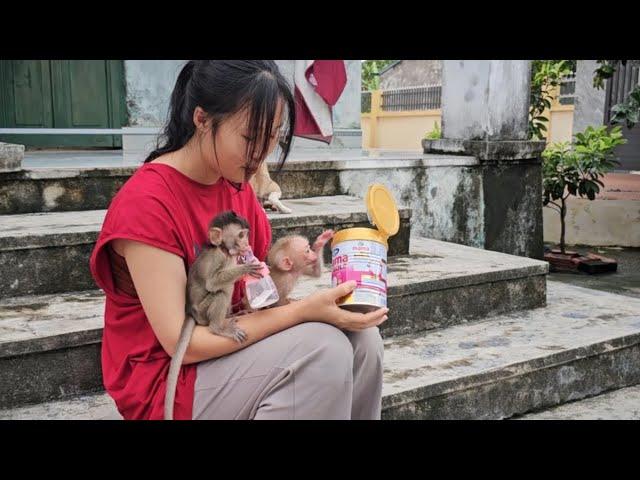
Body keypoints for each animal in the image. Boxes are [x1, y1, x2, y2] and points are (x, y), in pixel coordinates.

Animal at [168, 211, 264, 420]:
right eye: (240, 235)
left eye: (245, 234)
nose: (246, 244)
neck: (225, 251)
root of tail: (190, 311)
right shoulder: (219, 258)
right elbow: (212, 283)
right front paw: (246, 268)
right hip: (203, 311)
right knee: (221, 292)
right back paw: (218, 327)